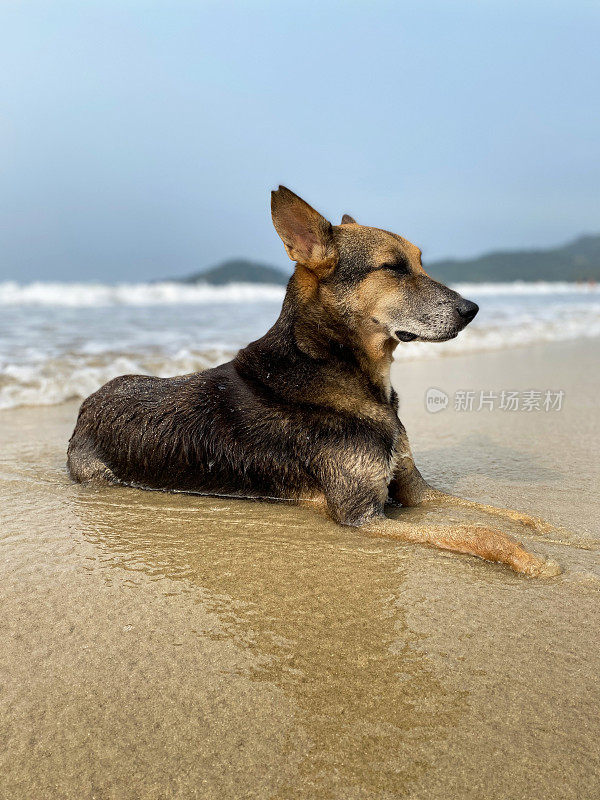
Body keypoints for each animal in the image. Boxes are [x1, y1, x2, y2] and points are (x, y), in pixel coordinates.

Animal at [68, 186, 560, 576]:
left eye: (421, 263)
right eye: (394, 268)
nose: (472, 310)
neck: (340, 369)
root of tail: (85, 404)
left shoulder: (417, 491)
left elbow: (497, 510)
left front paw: (555, 530)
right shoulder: (362, 514)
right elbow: (478, 531)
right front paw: (533, 559)